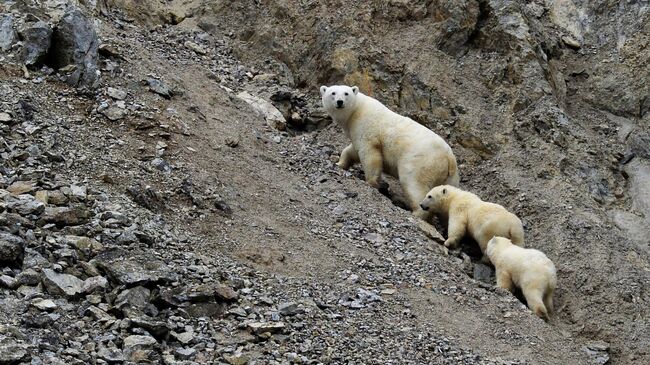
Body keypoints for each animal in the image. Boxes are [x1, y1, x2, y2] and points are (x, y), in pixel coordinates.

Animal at [322, 84, 458, 218]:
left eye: (346, 93)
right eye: (333, 92)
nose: (340, 102)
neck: (356, 110)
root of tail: (448, 157)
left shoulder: (367, 127)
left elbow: (369, 153)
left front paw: (372, 182)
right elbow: (352, 151)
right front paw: (339, 163)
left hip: (421, 161)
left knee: (414, 184)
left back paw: (416, 212)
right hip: (449, 176)